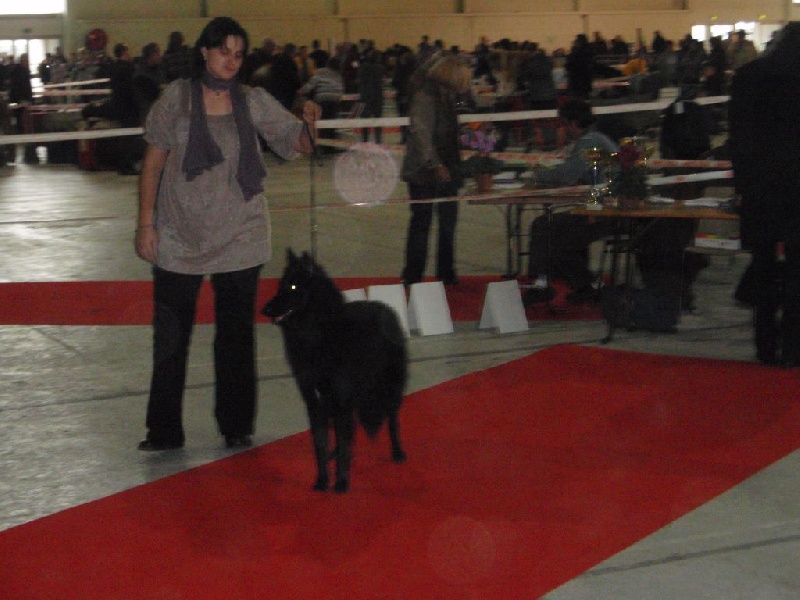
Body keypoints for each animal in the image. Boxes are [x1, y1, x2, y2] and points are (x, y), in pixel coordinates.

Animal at [261, 249, 408, 493]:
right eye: (281, 285)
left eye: (293, 286)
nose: (264, 310)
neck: (316, 333)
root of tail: (386, 308)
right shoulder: (315, 402)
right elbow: (320, 444)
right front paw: (322, 479)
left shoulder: (340, 400)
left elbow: (343, 441)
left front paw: (341, 482)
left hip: (388, 387)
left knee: (392, 420)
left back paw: (397, 452)